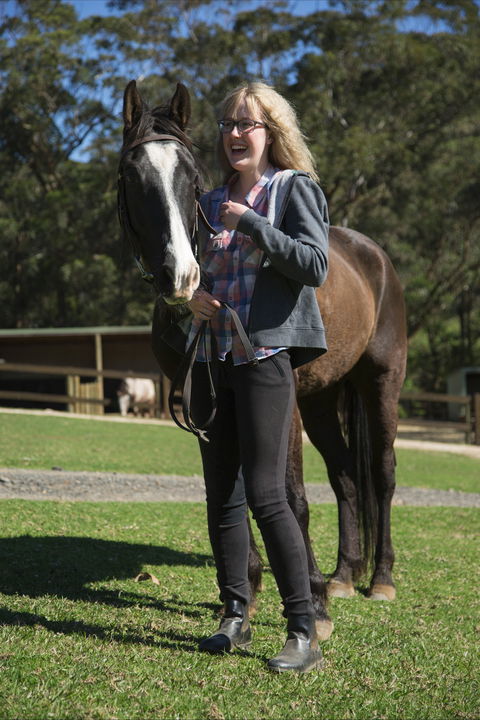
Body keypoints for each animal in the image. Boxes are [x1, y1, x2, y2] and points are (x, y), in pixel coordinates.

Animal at [118, 80, 408, 640]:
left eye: (192, 177)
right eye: (132, 175)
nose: (180, 276)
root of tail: (375, 257)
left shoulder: (282, 404)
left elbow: (291, 497)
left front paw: (313, 606)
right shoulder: (206, 403)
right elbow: (230, 492)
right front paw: (245, 595)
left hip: (380, 383)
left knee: (380, 474)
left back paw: (378, 580)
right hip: (322, 401)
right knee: (345, 476)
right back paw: (344, 575)